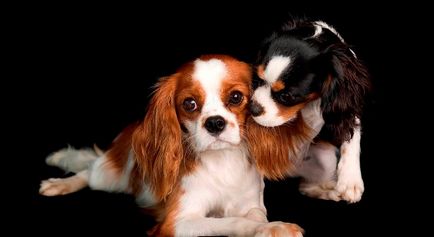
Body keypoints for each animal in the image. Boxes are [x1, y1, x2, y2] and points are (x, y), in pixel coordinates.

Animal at [40, 54, 304, 236]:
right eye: (189, 104)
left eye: (236, 97)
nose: (214, 123)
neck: (222, 161)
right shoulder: (178, 223)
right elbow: (230, 221)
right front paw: (271, 228)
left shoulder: (250, 201)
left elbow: (255, 214)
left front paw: (266, 225)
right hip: (109, 177)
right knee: (88, 171)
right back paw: (59, 185)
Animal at [248, 19, 370, 203]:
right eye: (257, 80)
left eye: (287, 96)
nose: (253, 109)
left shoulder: (347, 106)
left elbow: (352, 136)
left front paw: (351, 180)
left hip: (326, 160)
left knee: (306, 187)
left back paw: (330, 191)